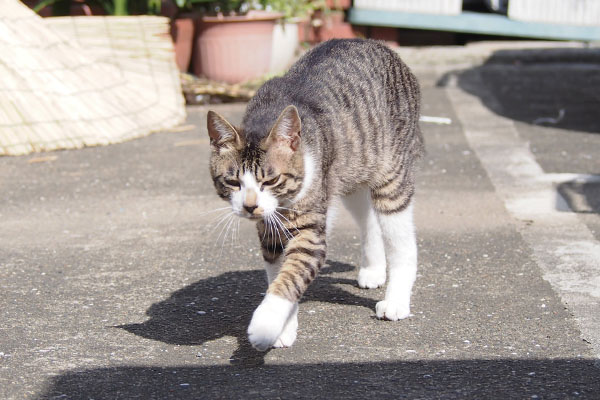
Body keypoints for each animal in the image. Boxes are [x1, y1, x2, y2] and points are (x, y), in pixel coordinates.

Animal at [209, 37, 424, 350]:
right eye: (233, 182)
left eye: (271, 180)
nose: (250, 207)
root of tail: (375, 43)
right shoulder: (271, 232)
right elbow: (279, 273)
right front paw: (284, 328)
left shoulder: (310, 231)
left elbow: (291, 273)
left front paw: (264, 326)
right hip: (350, 172)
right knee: (368, 218)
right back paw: (373, 269)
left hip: (390, 175)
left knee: (400, 239)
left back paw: (396, 301)